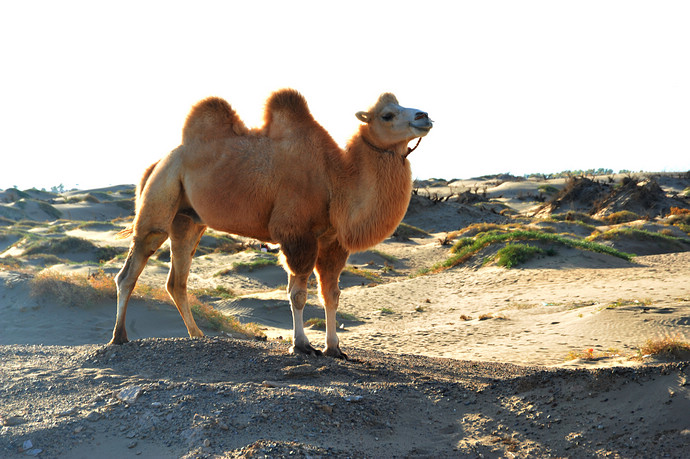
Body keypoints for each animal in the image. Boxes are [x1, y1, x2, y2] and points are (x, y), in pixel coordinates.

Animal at [110, 88, 432, 358]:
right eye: (387, 115)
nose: (424, 116)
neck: (335, 179)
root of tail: (157, 162)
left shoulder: (332, 242)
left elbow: (331, 295)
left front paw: (334, 349)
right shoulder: (296, 235)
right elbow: (298, 295)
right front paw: (301, 345)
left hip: (188, 220)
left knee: (177, 279)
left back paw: (197, 335)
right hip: (160, 199)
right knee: (132, 268)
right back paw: (118, 337)